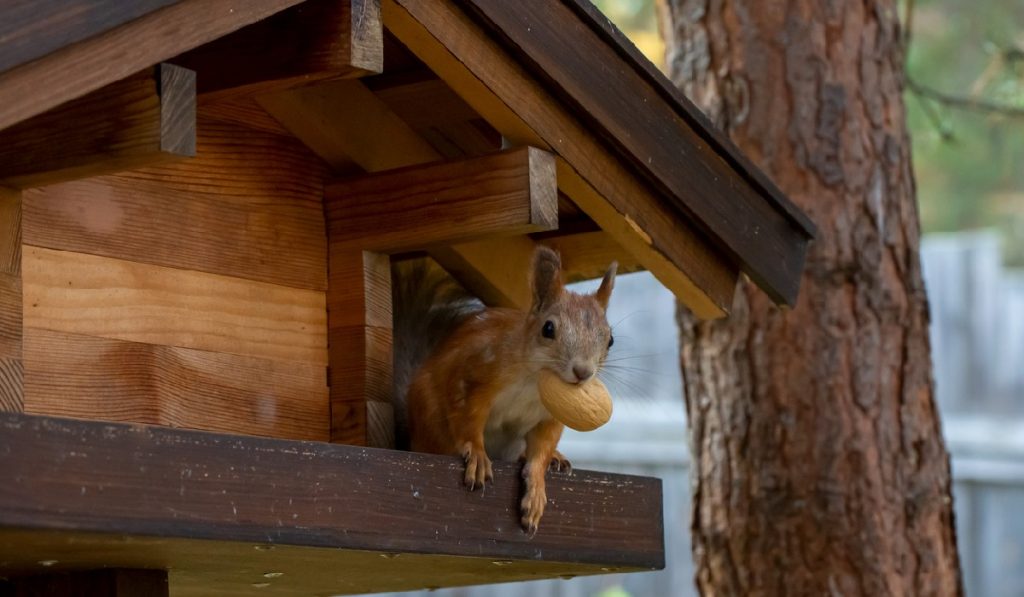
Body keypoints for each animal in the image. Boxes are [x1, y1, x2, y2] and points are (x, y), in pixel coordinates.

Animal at [391, 245, 614, 536]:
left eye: (610, 339)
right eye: (548, 328)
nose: (583, 372)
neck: (534, 381)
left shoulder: (551, 416)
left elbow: (542, 448)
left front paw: (536, 489)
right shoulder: (475, 376)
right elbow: (468, 418)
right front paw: (477, 454)